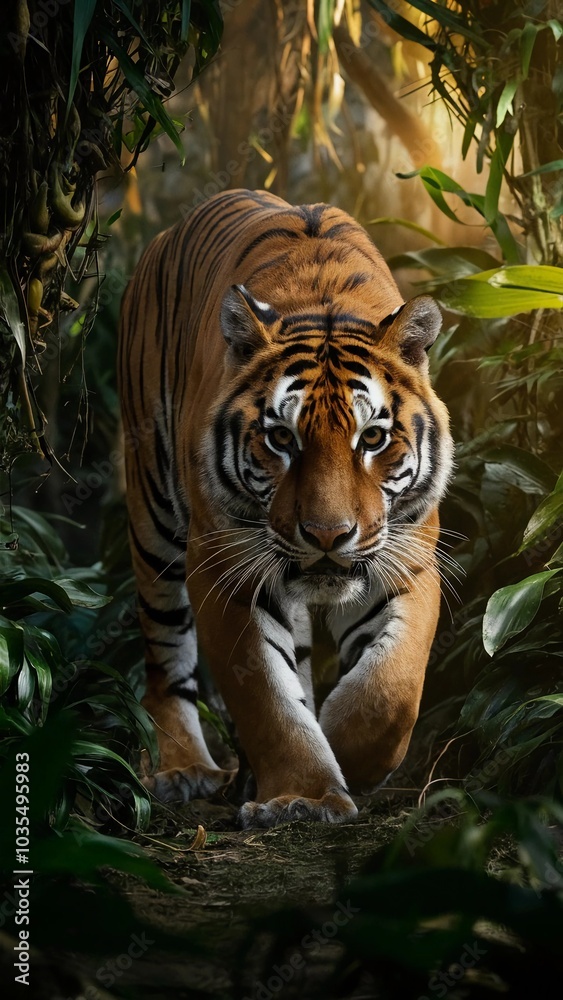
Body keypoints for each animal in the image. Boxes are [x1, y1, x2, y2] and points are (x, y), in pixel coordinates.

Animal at [118, 188, 454, 828]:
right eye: (281, 438)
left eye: (373, 439)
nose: (327, 535)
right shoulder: (224, 568)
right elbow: (266, 699)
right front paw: (304, 795)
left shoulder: (407, 555)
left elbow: (389, 687)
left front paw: (347, 758)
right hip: (153, 515)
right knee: (164, 654)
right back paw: (184, 769)